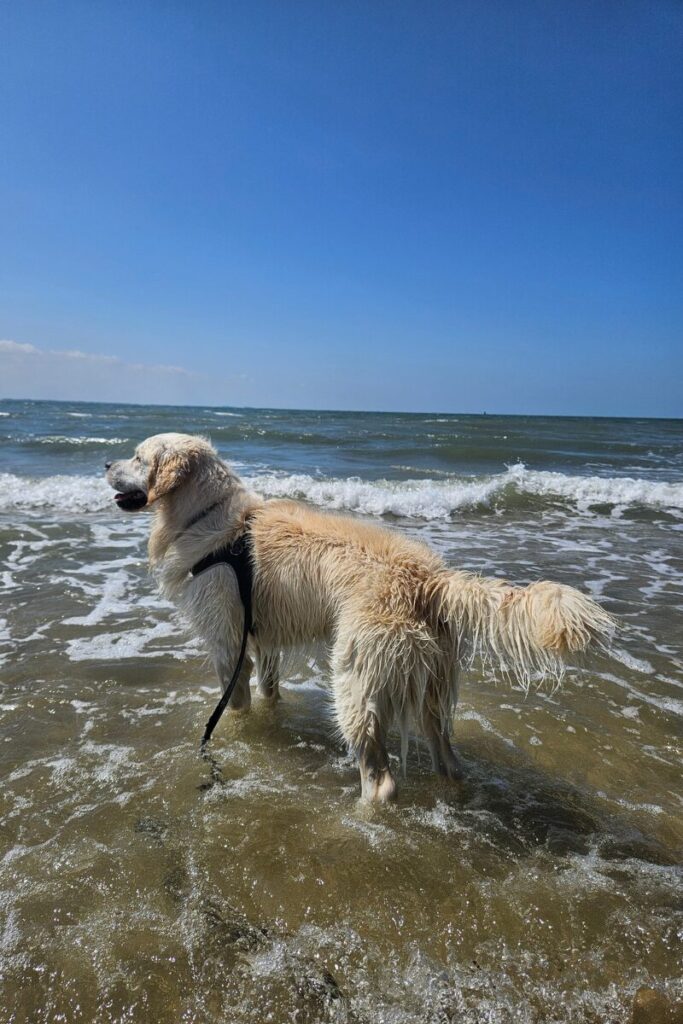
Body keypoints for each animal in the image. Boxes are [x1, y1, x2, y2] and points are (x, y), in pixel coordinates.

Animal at [105, 432, 614, 798]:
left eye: (136, 456)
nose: (105, 465)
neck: (205, 517)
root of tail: (431, 578)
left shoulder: (227, 642)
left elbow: (234, 702)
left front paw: (234, 735)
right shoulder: (263, 636)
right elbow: (269, 688)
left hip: (355, 673)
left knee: (381, 778)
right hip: (430, 680)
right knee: (447, 757)